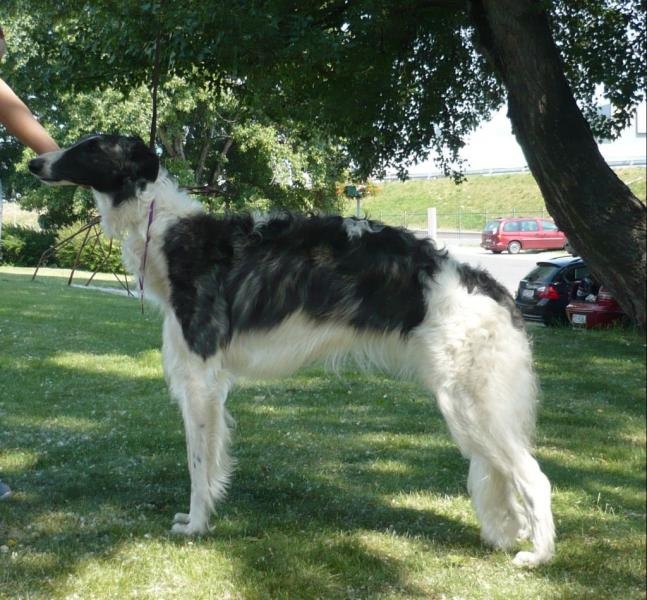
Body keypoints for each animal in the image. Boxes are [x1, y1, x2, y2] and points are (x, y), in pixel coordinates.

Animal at [29, 134, 556, 564]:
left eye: (91, 148)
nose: (35, 162)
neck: (167, 234)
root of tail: (487, 284)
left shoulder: (199, 377)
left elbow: (198, 465)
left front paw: (196, 525)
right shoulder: (207, 382)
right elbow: (212, 460)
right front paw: (205, 516)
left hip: (472, 403)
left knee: (535, 477)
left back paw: (538, 555)